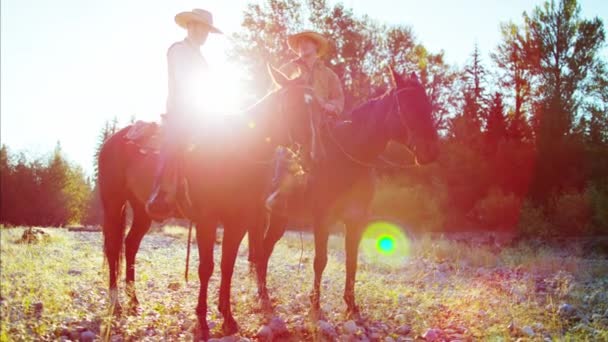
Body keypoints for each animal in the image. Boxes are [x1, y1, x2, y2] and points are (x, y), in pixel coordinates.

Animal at [96, 67, 314, 340]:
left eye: (313, 104)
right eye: (293, 105)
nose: (311, 152)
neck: (233, 151)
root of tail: (113, 140)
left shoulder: (239, 221)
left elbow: (227, 265)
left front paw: (228, 318)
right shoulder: (207, 220)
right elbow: (207, 267)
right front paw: (202, 321)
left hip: (142, 210)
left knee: (131, 244)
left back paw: (134, 301)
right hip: (113, 203)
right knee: (113, 248)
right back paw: (116, 303)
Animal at [254, 67, 440, 320]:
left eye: (427, 105)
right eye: (408, 107)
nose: (431, 151)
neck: (348, 160)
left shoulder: (356, 220)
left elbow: (352, 261)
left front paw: (351, 305)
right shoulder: (322, 219)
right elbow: (320, 261)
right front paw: (315, 305)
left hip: (278, 218)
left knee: (264, 251)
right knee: (261, 252)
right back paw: (263, 296)